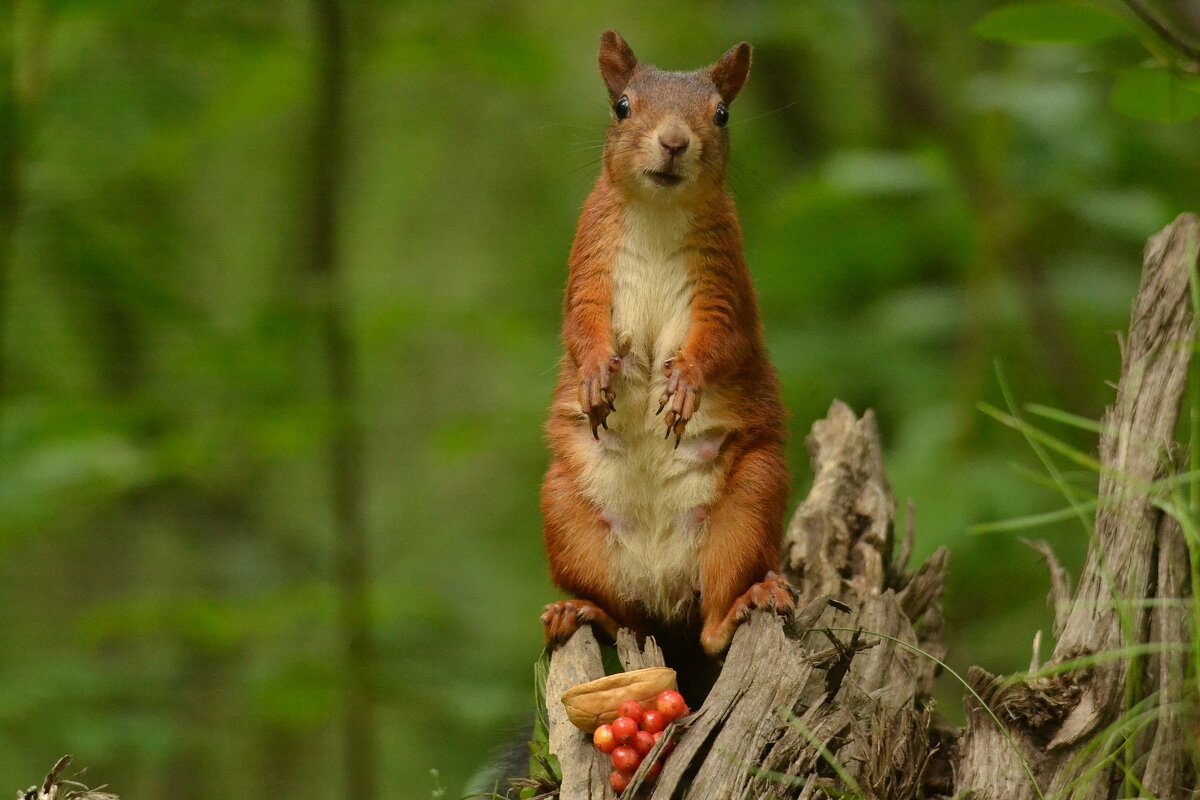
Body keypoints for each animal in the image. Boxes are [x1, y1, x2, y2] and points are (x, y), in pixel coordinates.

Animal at [540, 32, 792, 681]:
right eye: (622, 106)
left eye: (722, 114)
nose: (675, 141)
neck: (657, 211)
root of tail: (667, 598)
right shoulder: (588, 261)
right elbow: (580, 328)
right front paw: (595, 376)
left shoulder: (723, 282)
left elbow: (720, 342)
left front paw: (684, 387)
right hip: (566, 515)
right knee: (623, 618)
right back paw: (582, 611)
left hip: (748, 504)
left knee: (713, 623)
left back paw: (743, 605)